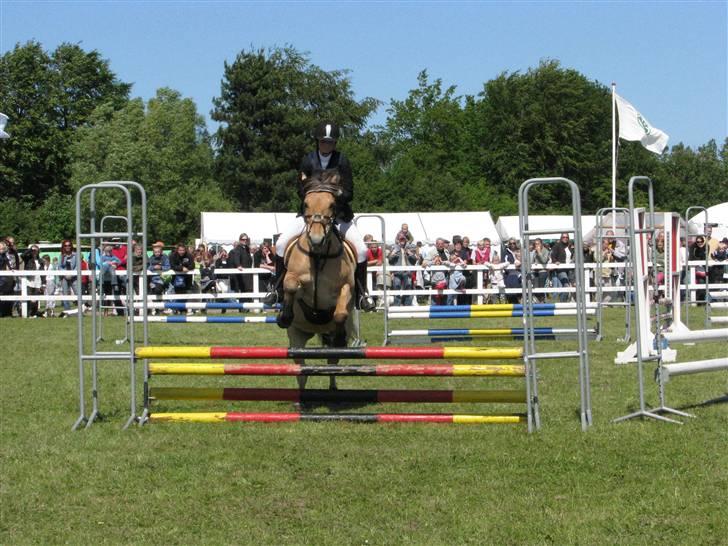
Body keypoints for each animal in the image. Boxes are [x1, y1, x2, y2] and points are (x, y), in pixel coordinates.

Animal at [278, 169, 356, 392]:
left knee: (332, 363)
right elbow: (290, 285)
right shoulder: (294, 278)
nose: (316, 239)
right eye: (305, 203)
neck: (319, 255)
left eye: (332, 204)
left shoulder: (346, 287)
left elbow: (340, 312)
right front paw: (285, 315)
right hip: (296, 337)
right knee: (301, 369)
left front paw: (339, 334)